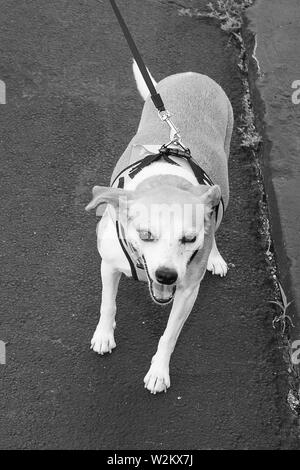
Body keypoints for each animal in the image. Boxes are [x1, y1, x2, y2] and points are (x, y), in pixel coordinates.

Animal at [85, 61, 233, 392]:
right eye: (145, 235)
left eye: (189, 239)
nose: (166, 275)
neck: (166, 181)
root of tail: (194, 75)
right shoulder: (108, 265)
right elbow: (107, 304)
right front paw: (104, 335)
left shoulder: (187, 291)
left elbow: (169, 336)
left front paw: (159, 371)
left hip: (222, 183)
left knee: (216, 215)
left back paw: (215, 256)